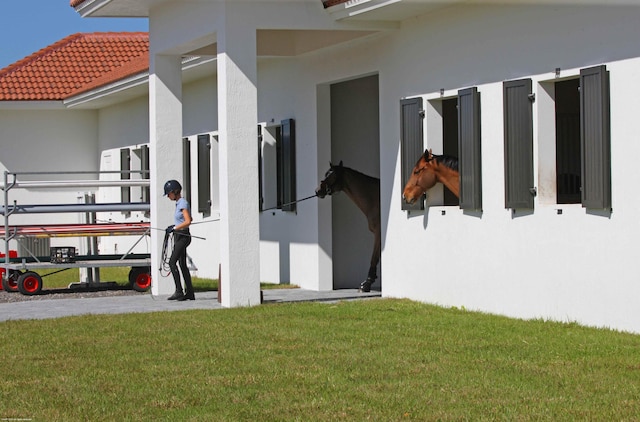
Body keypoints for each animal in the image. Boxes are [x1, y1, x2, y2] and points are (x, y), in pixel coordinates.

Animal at [316, 162, 380, 294]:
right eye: (326, 173)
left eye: (331, 175)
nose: (318, 190)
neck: (375, 198)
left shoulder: (379, 233)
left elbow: (374, 258)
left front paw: (366, 284)